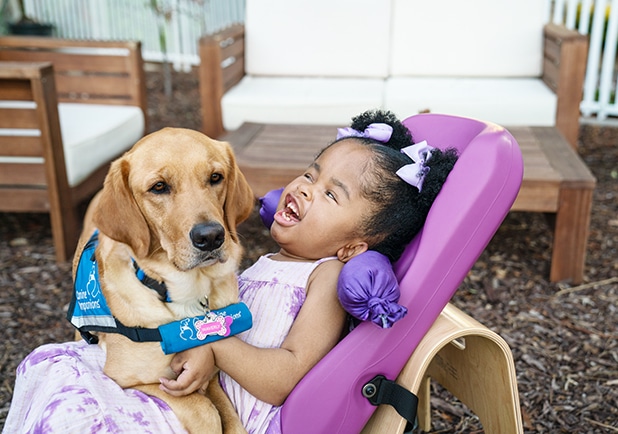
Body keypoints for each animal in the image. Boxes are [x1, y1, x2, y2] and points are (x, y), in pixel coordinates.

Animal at [71, 127, 253, 432]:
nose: (211, 237)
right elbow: (204, 409)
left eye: (216, 177)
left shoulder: (210, 373)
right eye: (159, 187)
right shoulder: (130, 377)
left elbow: (230, 418)